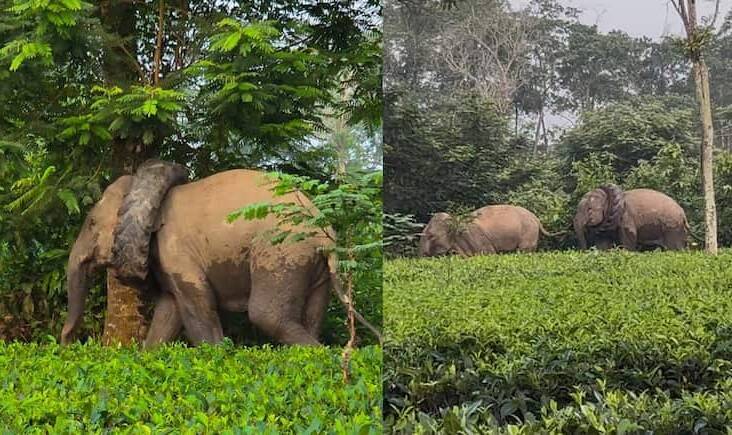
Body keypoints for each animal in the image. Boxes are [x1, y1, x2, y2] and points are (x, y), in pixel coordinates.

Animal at [61, 159, 380, 347]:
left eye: (91, 223)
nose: (66, 343)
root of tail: (324, 230)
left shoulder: (177, 253)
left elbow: (198, 304)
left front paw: (215, 354)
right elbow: (168, 310)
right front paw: (148, 356)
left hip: (281, 252)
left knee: (266, 315)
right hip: (313, 265)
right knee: (312, 315)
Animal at [418, 205, 556, 257]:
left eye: (431, 236)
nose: (423, 255)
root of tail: (536, 218)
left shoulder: (475, 236)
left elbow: (488, 253)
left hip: (529, 232)